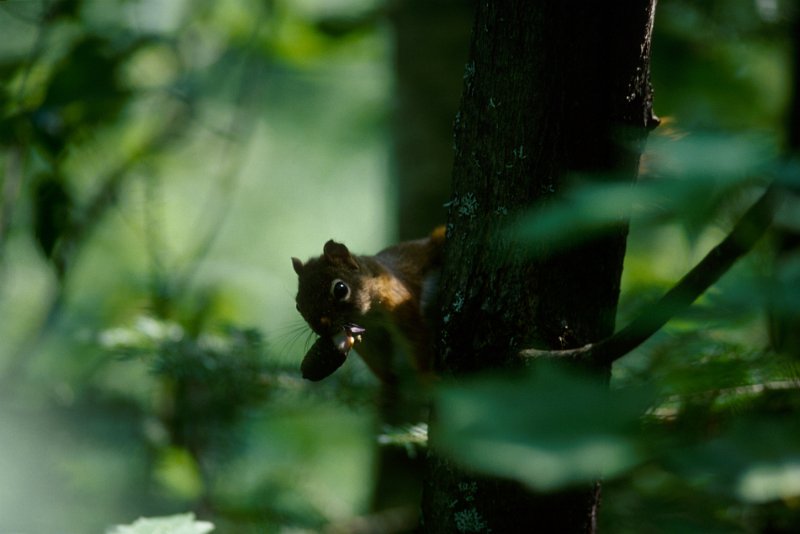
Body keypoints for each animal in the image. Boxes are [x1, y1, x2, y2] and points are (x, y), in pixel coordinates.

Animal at [292, 228, 446, 384]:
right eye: (298, 305)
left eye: (340, 289)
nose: (320, 327)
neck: (369, 316)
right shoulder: (371, 338)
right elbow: (382, 367)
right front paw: (388, 387)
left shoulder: (398, 303)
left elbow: (417, 340)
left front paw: (428, 377)